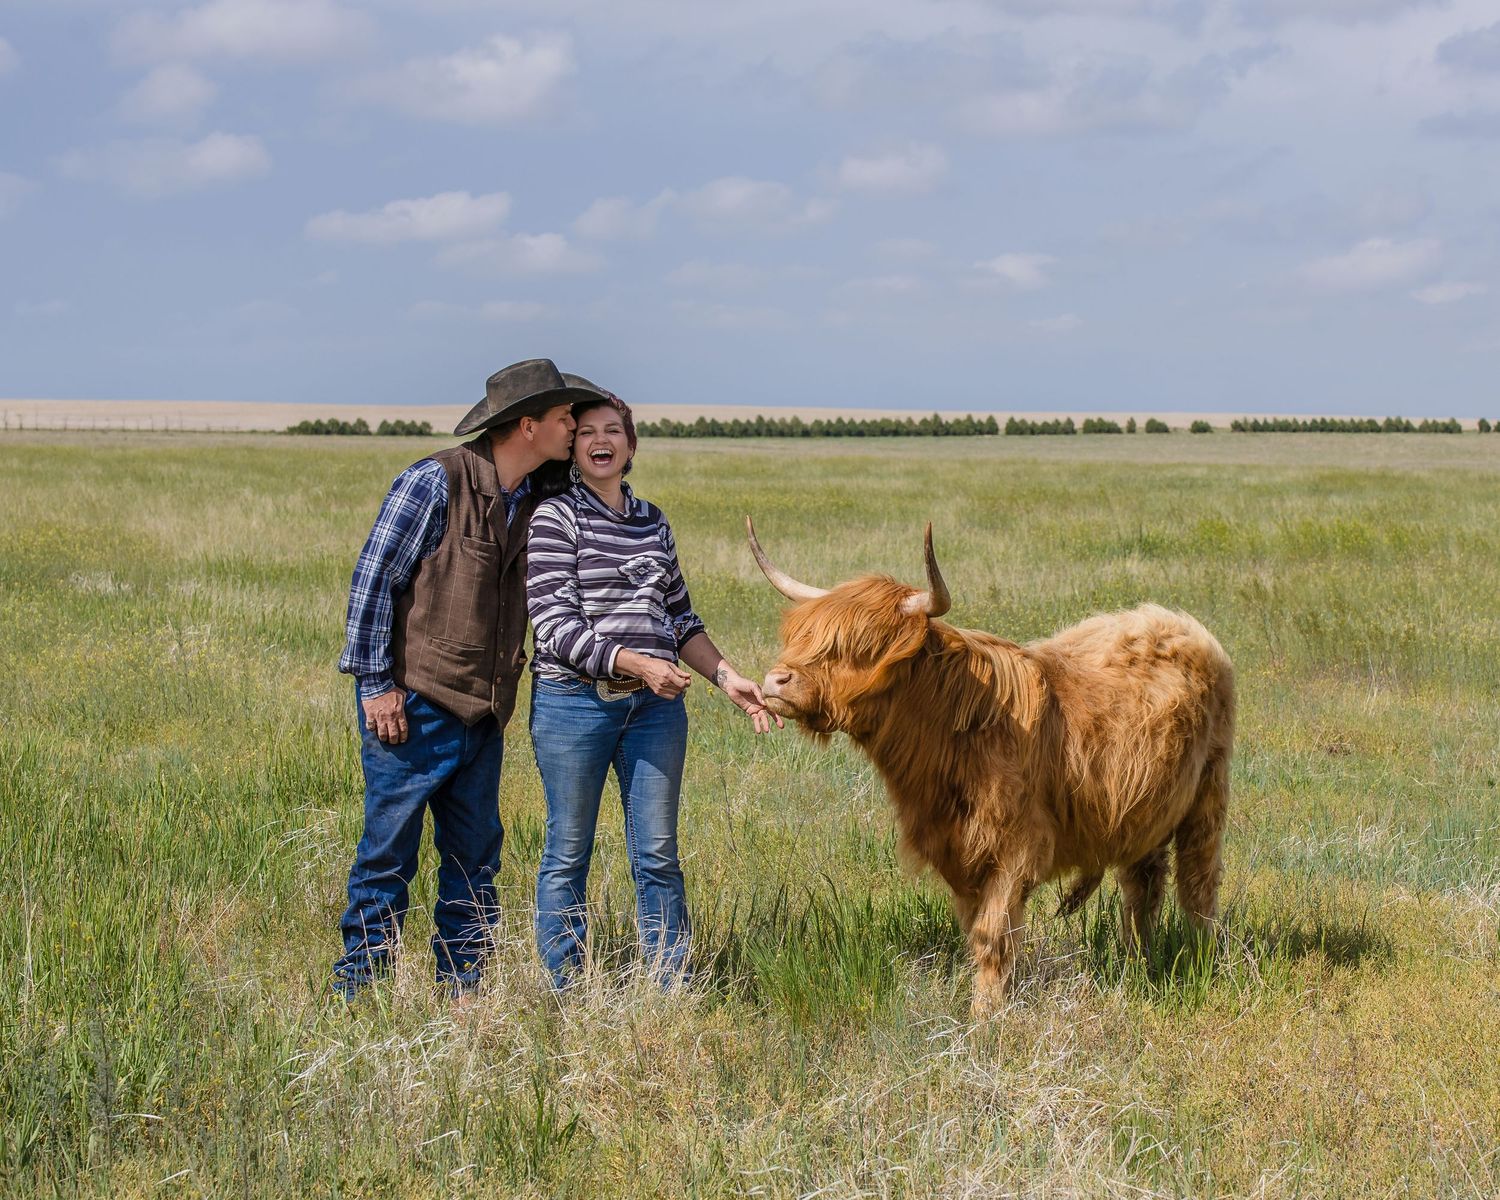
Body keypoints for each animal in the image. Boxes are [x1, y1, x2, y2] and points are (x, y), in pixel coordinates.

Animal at [747, 518, 1235, 1017]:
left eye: (859, 647)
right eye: (802, 636)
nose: (775, 681)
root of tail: (1174, 621)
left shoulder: (1017, 847)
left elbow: (992, 935)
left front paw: (984, 1017)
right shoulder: (957, 851)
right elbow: (977, 930)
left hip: (1208, 795)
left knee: (1198, 884)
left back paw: (1199, 963)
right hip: (1145, 812)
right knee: (1143, 886)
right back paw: (1136, 961)